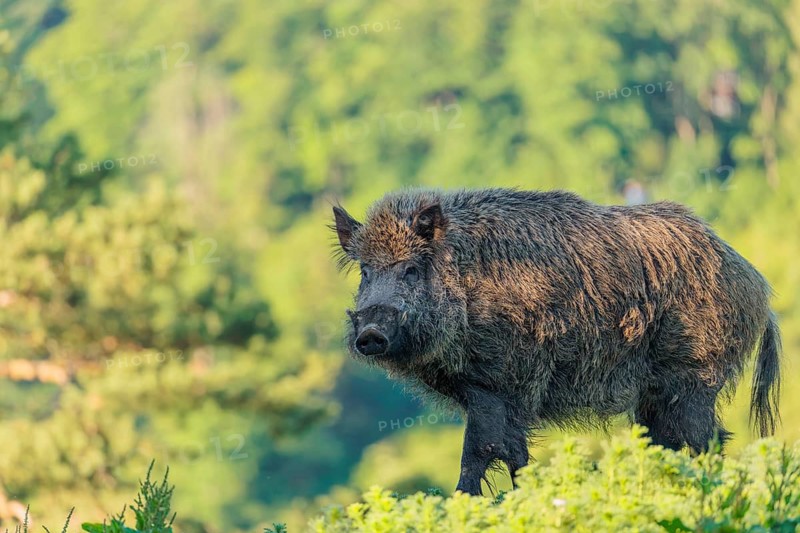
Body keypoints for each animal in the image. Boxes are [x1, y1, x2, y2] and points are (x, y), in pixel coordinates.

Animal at [332, 188, 781, 496]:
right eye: (365, 272)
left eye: (410, 269)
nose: (370, 334)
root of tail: (757, 285)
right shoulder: (499, 395)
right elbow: (511, 453)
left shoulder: (499, 383)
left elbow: (479, 450)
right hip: (655, 395)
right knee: (666, 440)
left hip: (696, 376)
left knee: (706, 438)